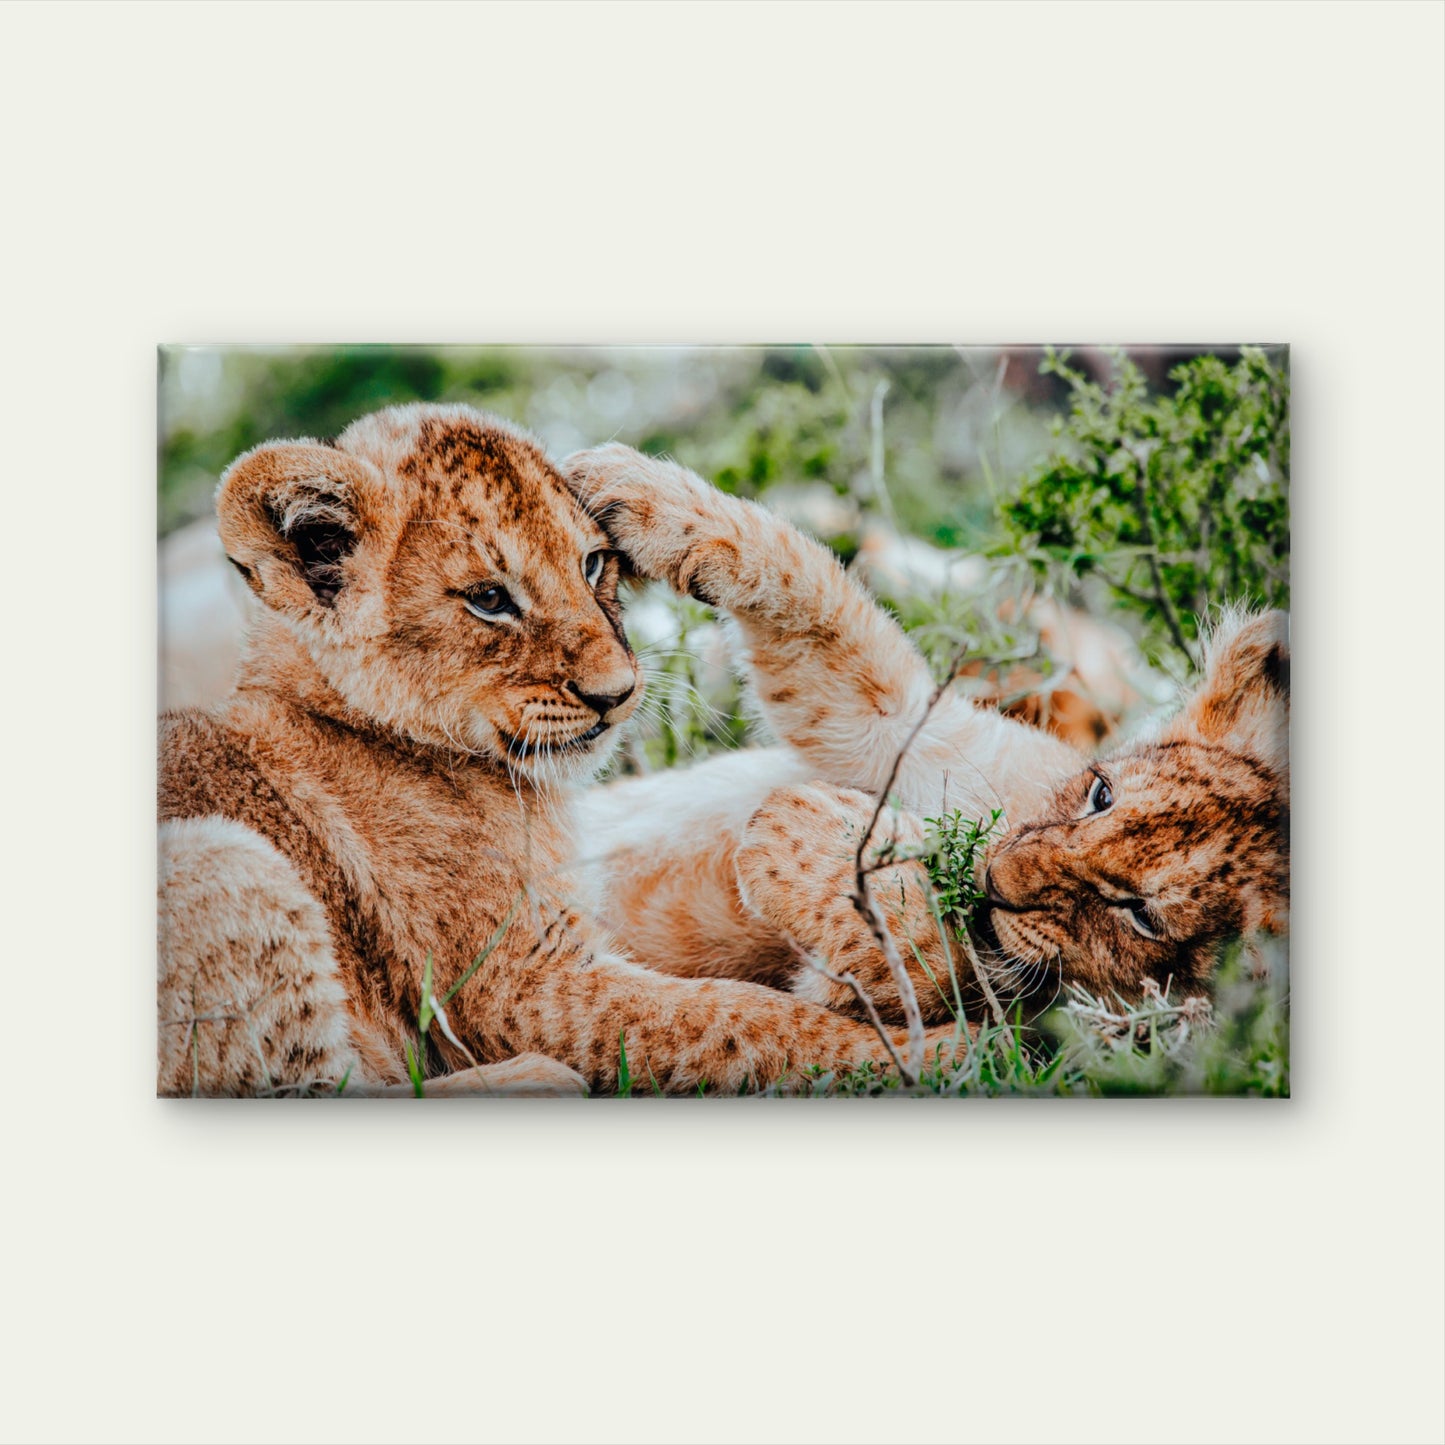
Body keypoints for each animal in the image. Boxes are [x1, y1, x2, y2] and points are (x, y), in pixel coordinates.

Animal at [158, 404, 936, 1096]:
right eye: (488, 599)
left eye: (593, 564)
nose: (616, 694)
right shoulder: (517, 988)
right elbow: (741, 1017)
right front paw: (937, 1052)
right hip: (224, 853)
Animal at [565, 444, 1290, 1025]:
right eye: (1101, 795)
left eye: (1140, 914)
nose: (996, 877)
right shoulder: (917, 734)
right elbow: (810, 594)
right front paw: (617, 484)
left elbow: (913, 948)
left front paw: (809, 832)